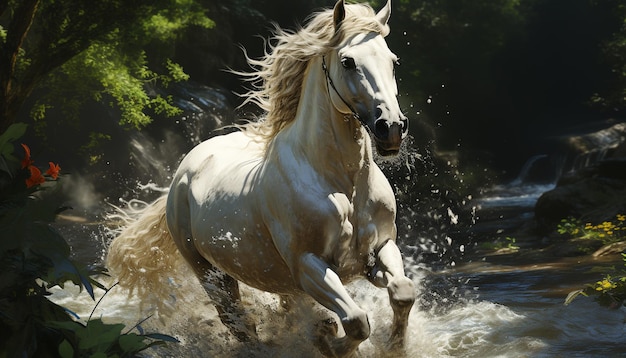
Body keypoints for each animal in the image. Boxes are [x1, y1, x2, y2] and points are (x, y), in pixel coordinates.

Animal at [107, 1, 414, 356]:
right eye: (348, 61)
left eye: (393, 61)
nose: (391, 127)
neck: (342, 183)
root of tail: (184, 171)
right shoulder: (308, 265)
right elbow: (356, 321)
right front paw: (327, 339)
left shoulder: (379, 249)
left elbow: (403, 293)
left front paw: (394, 346)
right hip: (210, 272)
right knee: (239, 324)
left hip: (278, 282)